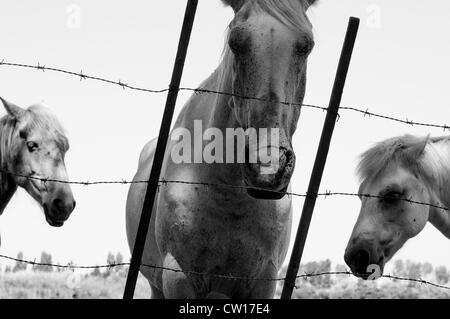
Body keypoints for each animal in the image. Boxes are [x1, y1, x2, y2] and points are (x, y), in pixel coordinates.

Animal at [126, 0, 316, 300]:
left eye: (306, 45)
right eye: (235, 43)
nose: (267, 167)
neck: (230, 195)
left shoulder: (263, 279)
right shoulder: (177, 276)